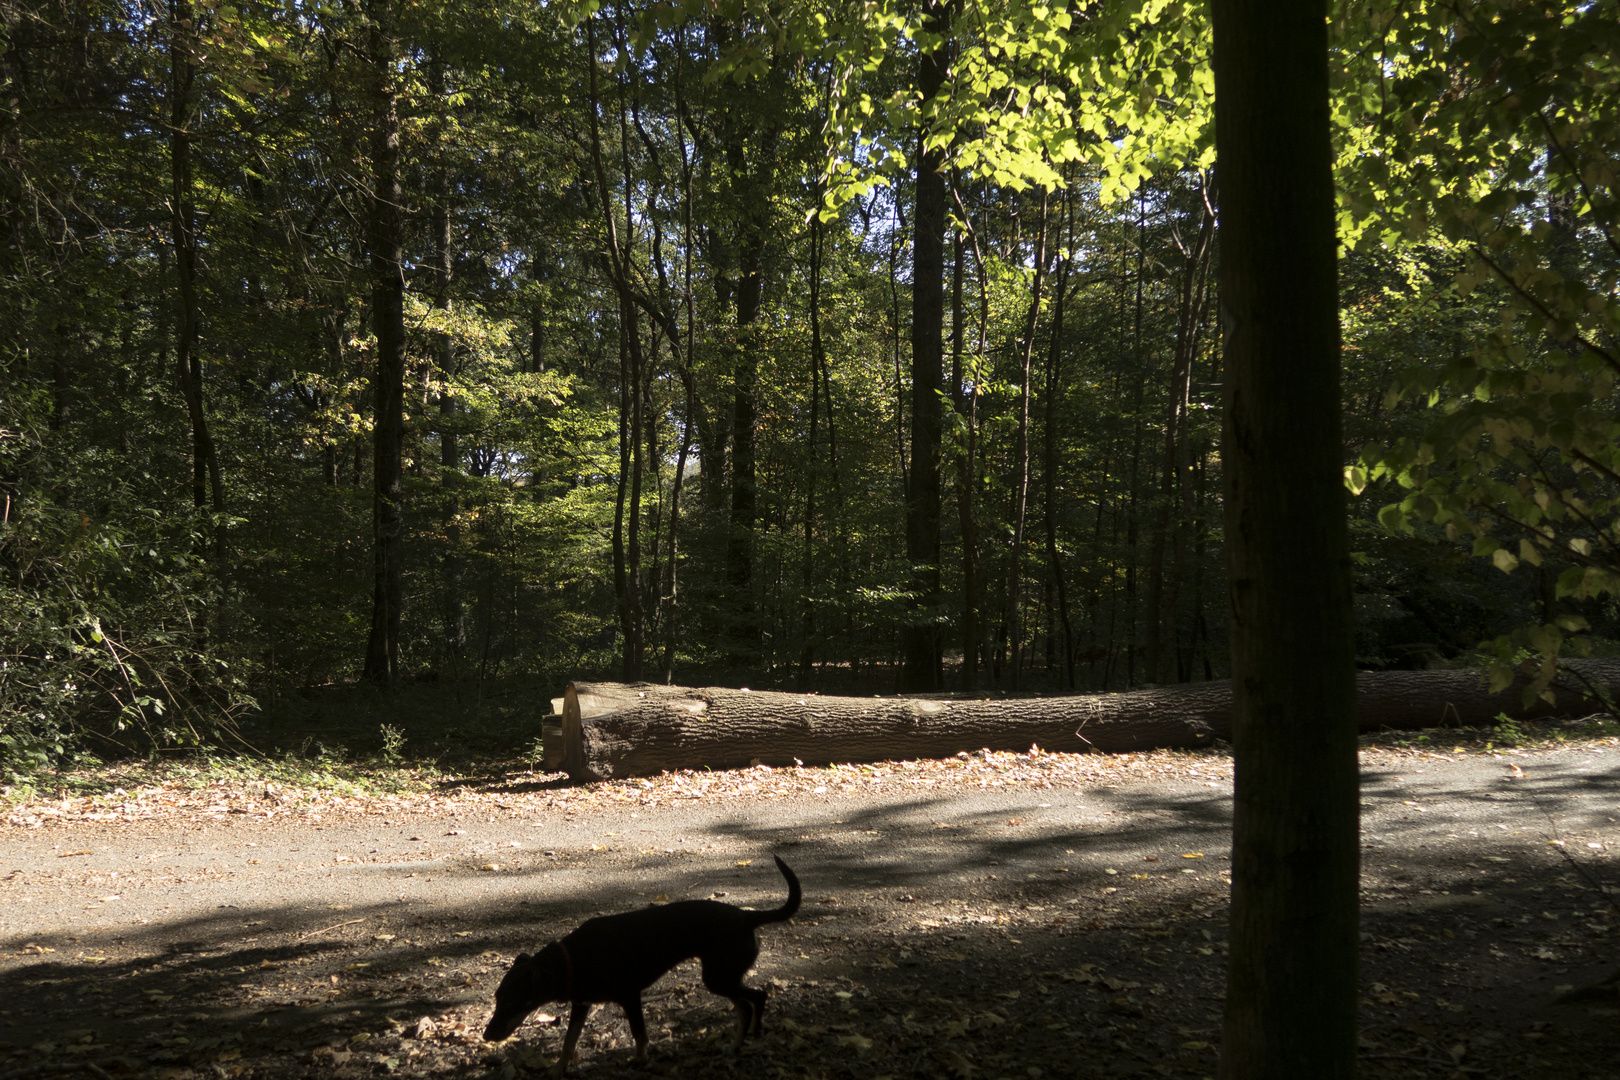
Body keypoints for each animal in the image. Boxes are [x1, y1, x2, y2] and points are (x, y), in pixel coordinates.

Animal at [482, 854, 806, 1075]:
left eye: (513, 1001)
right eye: (498, 998)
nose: (487, 1036)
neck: (572, 959)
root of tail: (746, 916)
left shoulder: (630, 997)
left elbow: (639, 1035)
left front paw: (640, 1060)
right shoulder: (582, 1004)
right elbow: (568, 1041)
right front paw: (558, 1069)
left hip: (719, 977)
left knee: (758, 997)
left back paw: (756, 1032)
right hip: (722, 977)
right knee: (744, 1006)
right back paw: (736, 1045)